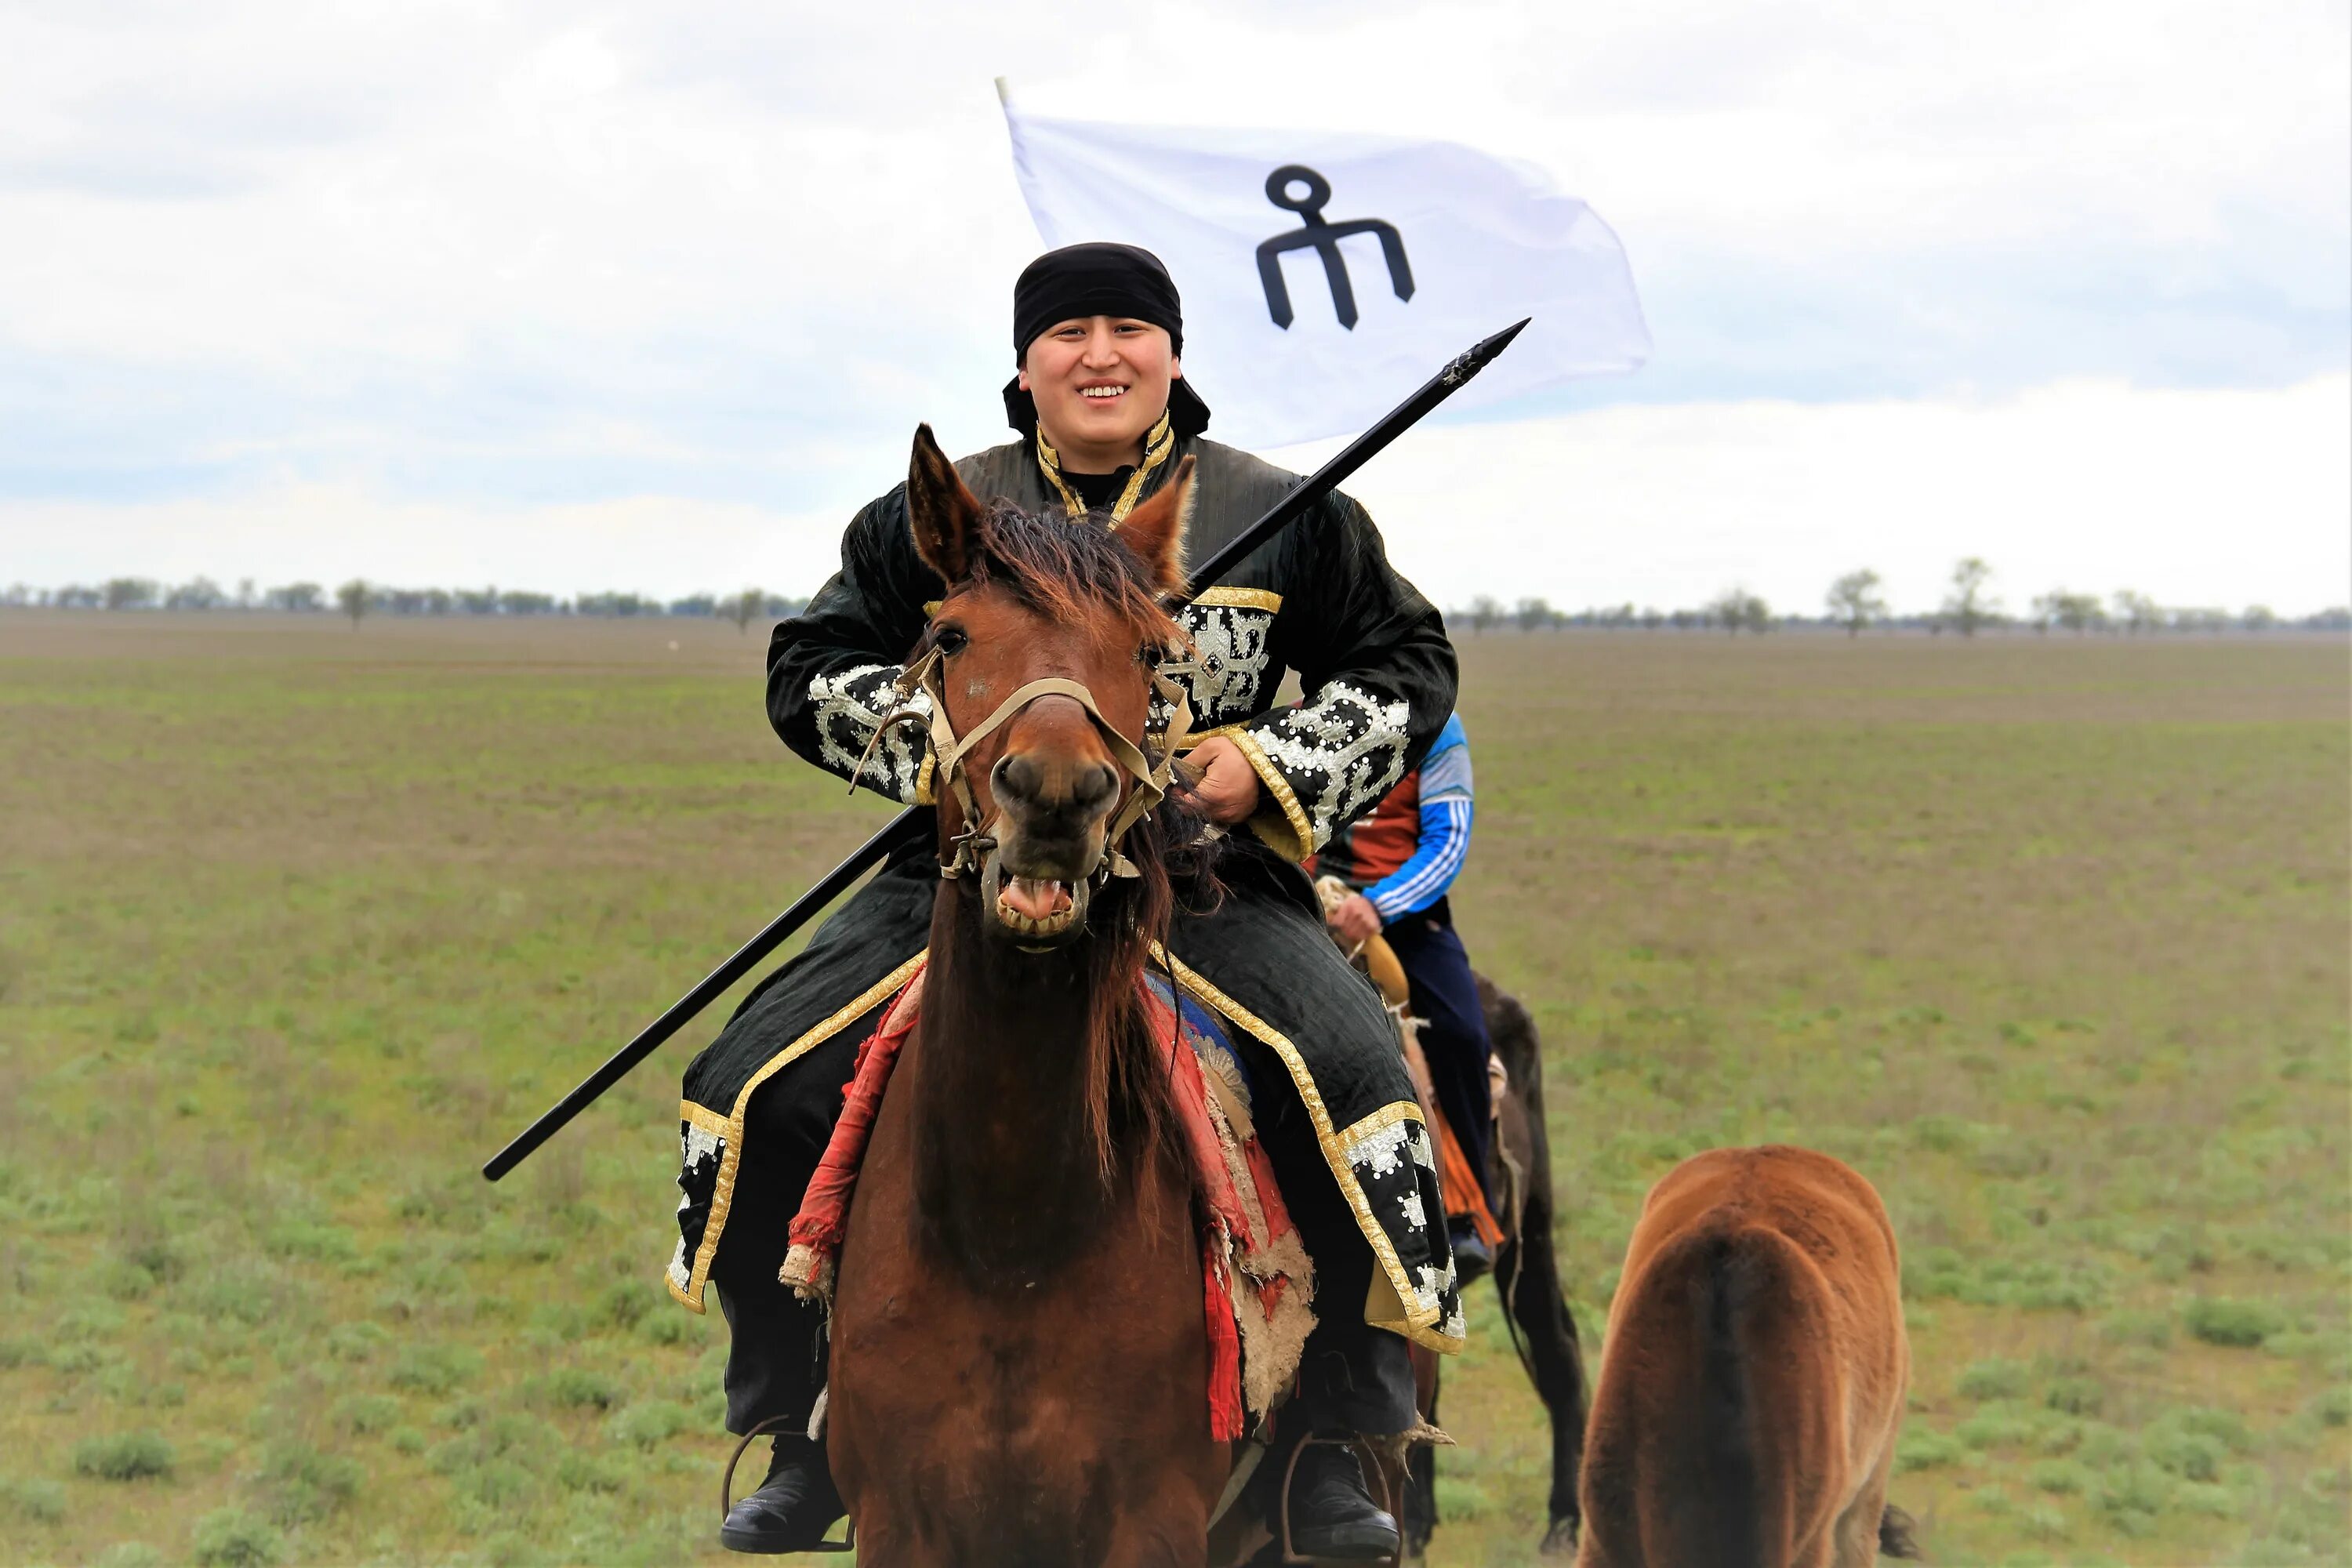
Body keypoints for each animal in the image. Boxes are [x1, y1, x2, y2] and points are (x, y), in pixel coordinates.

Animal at [823, 430, 1232, 1568]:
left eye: (1146, 654)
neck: (1012, 1237)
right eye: (953, 634)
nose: (1053, 794)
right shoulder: (901, 1522)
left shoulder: (1155, 1523)